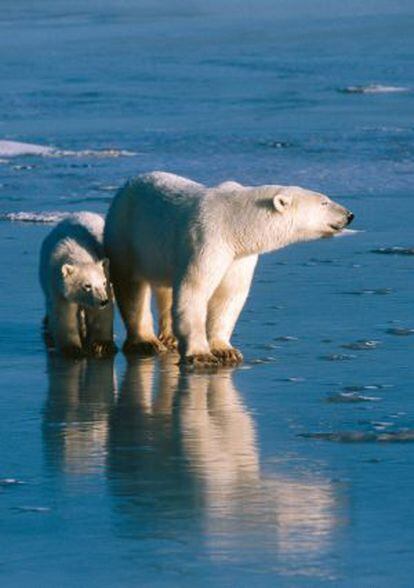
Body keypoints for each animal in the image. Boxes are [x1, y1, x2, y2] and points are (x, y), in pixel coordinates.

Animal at [105, 172, 354, 368]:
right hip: (125, 235)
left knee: (164, 287)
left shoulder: (239, 256)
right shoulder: (207, 239)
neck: (233, 222)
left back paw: (169, 338)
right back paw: (145, 341)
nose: (350, 215)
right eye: (324, 202)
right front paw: (201, 355)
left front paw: (226, 350)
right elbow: (194, 290)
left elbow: (229, 295)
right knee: (131, 288)